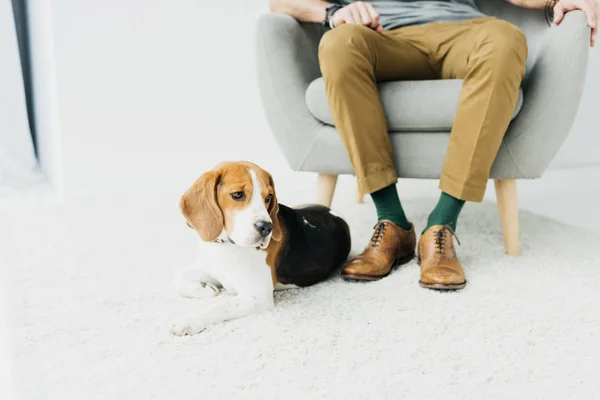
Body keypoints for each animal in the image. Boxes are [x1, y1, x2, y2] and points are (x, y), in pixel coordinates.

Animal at [169, 161, 352, 336]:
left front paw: (191, 320)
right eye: (237, 195)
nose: (266, 227)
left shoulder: (257, 296)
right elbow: (179, 277)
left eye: (269, 197)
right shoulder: (211, 268)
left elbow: (219, 306)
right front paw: (205, 289)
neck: (226, 244)